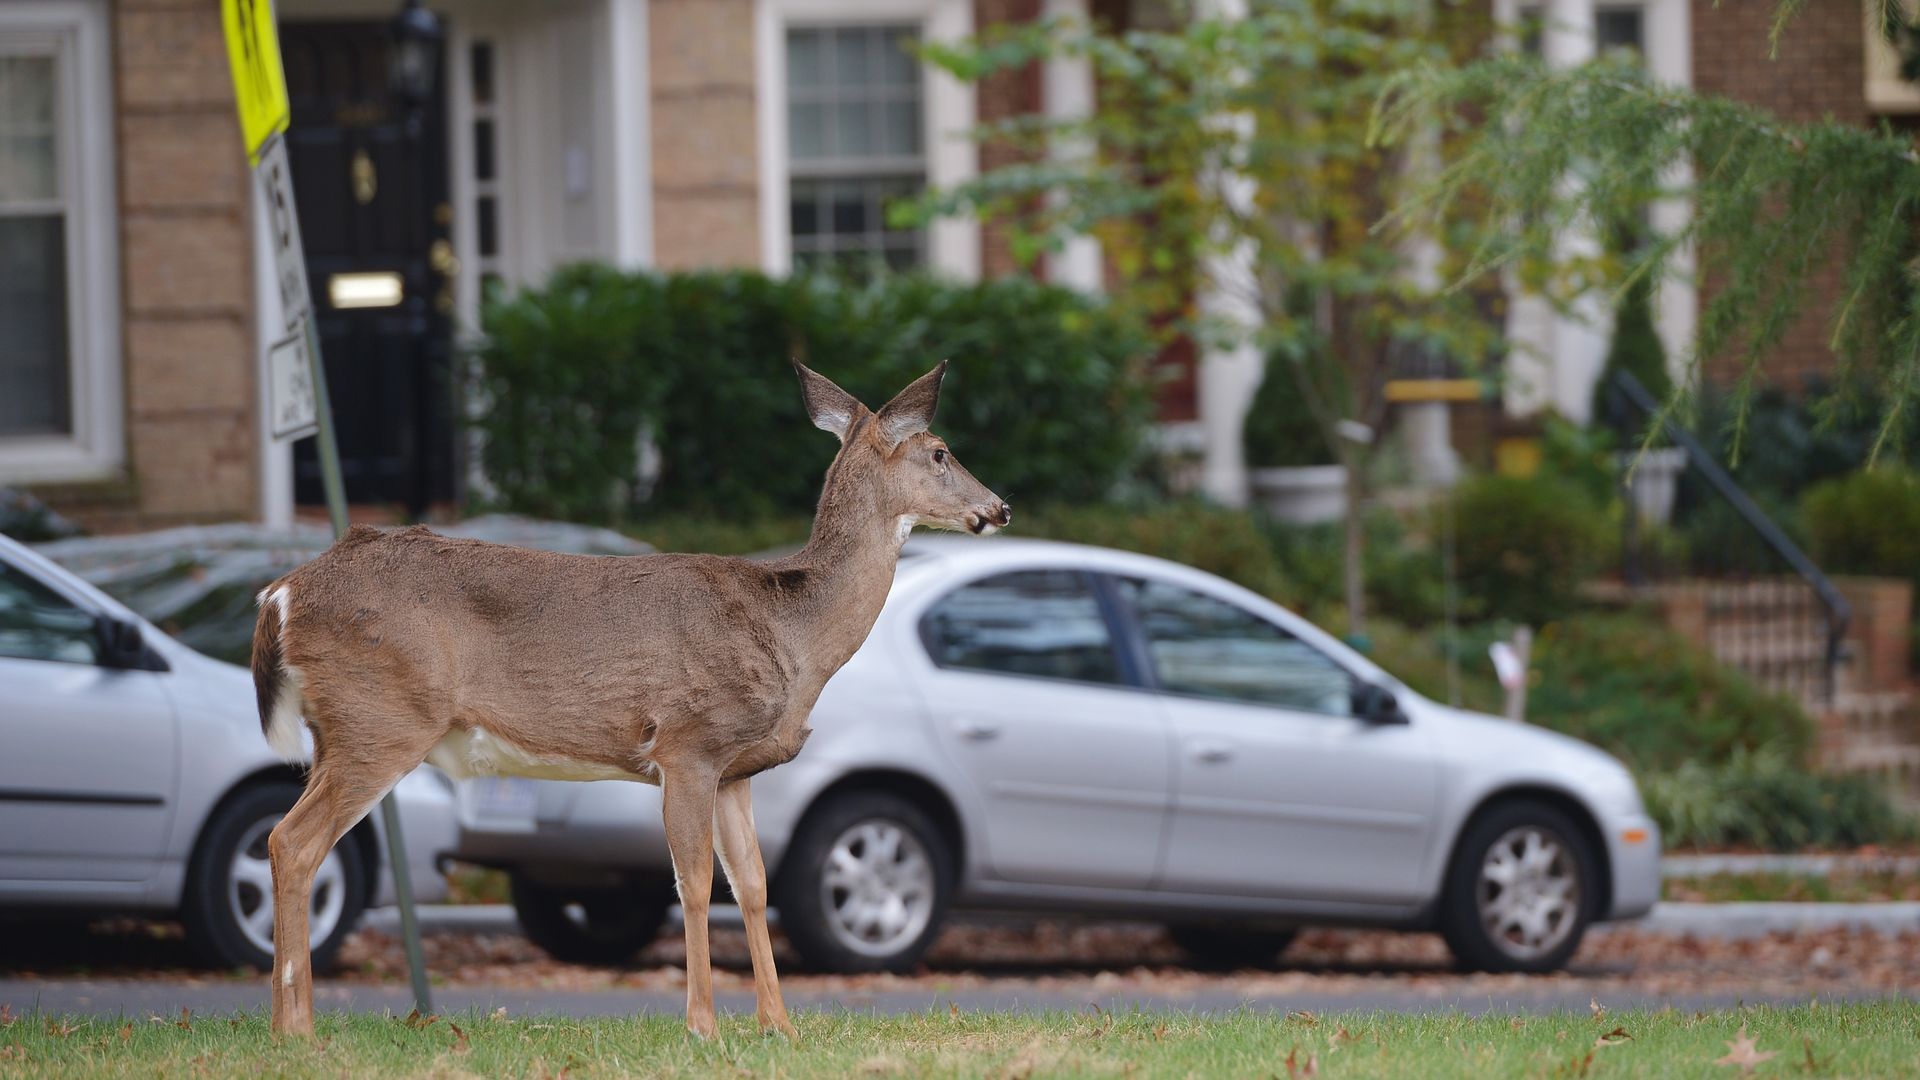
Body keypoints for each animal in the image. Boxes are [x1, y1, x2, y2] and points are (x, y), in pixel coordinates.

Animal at [249, 361, 1009, 1038]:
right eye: (941, 452)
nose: (999, 508)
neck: (793, 634)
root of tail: (280, 594)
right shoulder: (687, 743)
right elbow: (693, 883)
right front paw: (704, 1026)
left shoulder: (736, 769)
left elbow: (754, 886)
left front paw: (780, 1026)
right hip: (382, 719)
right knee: (291, 841)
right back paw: (297, 1029)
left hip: (341, 730)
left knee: (291, 841)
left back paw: (289, 1025)